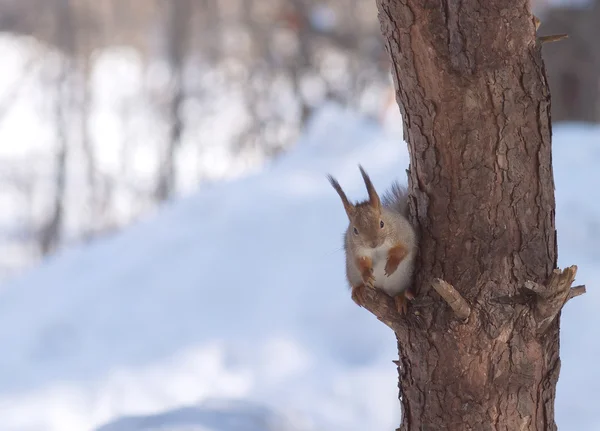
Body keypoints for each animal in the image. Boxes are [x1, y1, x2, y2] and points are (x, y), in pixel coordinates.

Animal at [328, 166, 418, 314]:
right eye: (355, 230)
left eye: (381, 223)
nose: (373, 243)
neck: (378, 249)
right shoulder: (355, 249)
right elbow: (361, 261)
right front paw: (366, 275)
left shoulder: (404, 234)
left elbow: (403, 249)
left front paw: (391, 264)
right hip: (352, 274)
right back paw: (358, 291)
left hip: (402, 281)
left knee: (399, 292)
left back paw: (400, 298)